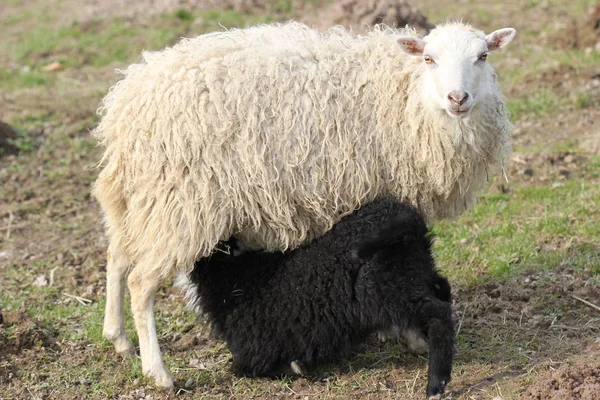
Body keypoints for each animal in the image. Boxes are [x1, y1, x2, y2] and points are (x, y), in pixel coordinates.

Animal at [190, 199, 452, 396]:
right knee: (442, 287)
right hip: (414, 272)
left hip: (386, 291)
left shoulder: (253, 351)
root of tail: (404, 215)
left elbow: (240, 369)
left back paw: (436, 383)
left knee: (439, 314)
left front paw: (296, 367)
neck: (234, 274)